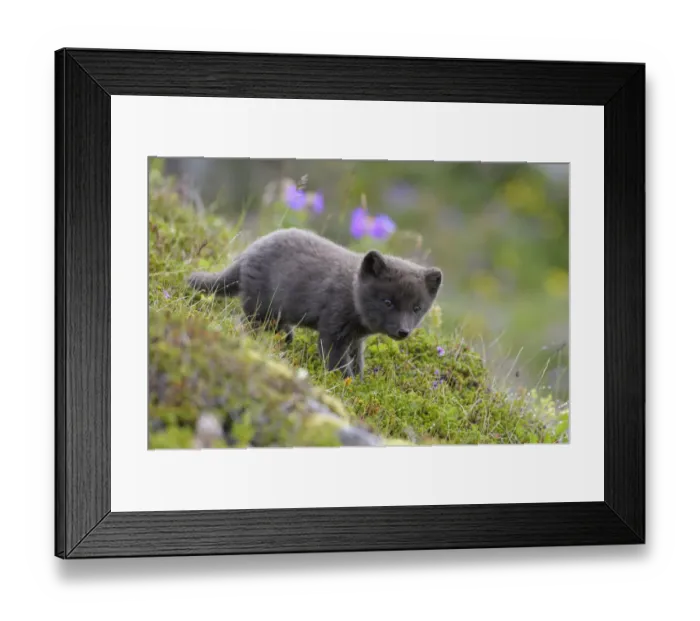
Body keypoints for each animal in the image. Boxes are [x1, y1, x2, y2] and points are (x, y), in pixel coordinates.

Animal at [187, 227, 443, 380]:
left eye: (417, 308)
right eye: (387, 302)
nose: (403, 331)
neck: (352, 291)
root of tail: (247, 252)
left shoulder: (354, 340)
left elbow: (357, 362)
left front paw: (360, 382)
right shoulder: (333, 332)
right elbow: (338, 364)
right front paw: (346, 384)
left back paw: (285, 338)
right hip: (258, 306)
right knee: (244, 321)